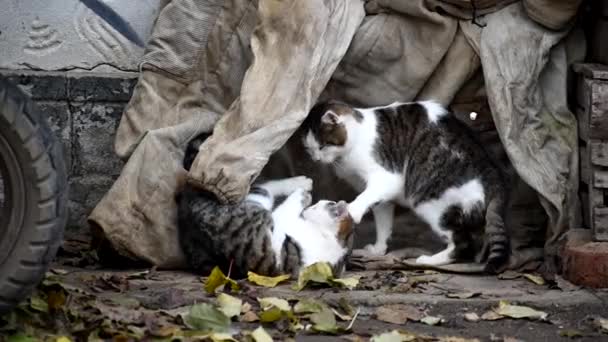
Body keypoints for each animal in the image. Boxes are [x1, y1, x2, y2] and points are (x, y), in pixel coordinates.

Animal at [176, 134, 354, 278]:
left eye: (323, 205)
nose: (311, 206)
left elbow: (287, 206)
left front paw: (302, 195)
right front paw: (304, 194)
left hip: (257, 199)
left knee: (263, 187)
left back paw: (301, 184)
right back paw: (301, 182)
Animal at [302, 99, 508, 272]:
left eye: (323, 146)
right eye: (309, 149)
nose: (316, 159)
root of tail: (494, 175)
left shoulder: (387, 178)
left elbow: (363, 198)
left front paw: (351, 210)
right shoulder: (382, 198)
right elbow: (383, 222)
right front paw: (378, 249)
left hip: (429, 202)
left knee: (462, 243)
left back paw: (430, 260)